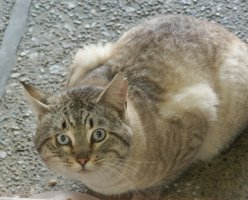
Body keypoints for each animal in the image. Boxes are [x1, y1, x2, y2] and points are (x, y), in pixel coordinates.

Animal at [21, 14, 248, 199]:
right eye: (62, 139)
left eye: (98, 135)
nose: (82, 160)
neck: (105, 182)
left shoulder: (198, 120)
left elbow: (159, 182)